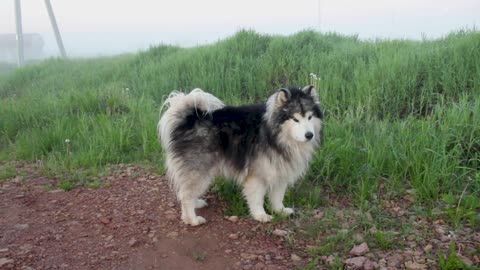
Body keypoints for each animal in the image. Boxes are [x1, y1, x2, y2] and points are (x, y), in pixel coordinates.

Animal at [159, 86, 324, 226]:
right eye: (295, 119)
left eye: (309, 117)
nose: (309, 135)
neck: (275, 135)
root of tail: (189, 119)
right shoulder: (257, 175)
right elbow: (257, 199)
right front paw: (261, 215)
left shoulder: (280, 171)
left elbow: (278, 196)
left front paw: (280, 211)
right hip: (199, 170)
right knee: (185, 195)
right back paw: (191, 219)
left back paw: (196, 203)